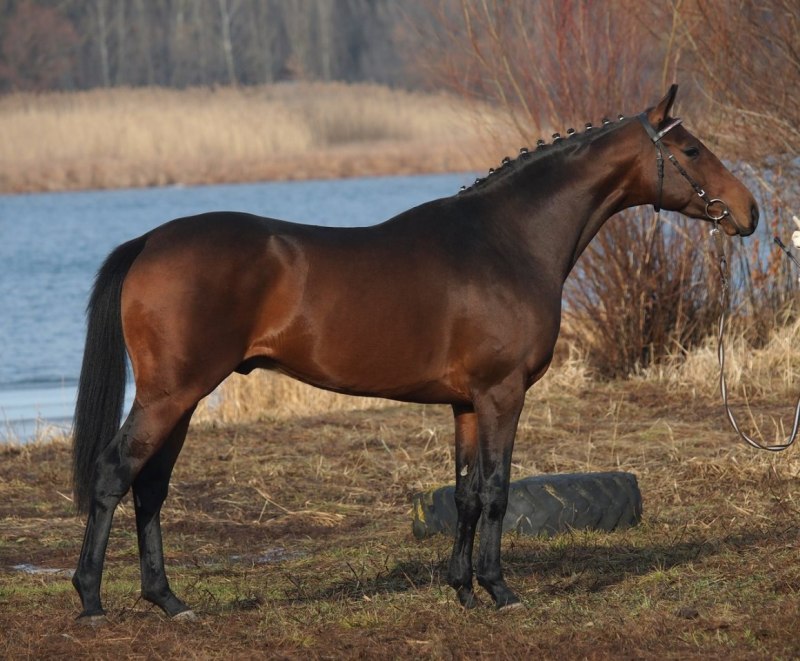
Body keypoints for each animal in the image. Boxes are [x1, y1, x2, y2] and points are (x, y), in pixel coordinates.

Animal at [70, 85, 758, 621]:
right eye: (691, 149)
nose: (749, 212)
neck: (507, 242)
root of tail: (150, 241)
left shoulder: (466, 404)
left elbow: (467, 492)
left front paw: (463, 590)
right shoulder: (503, 393)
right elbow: (498, 489)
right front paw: (500, 590)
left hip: (183, 400)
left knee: (151, 486)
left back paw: (168, 600)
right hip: (171, 394)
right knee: (114, 474)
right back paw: (91, 600)